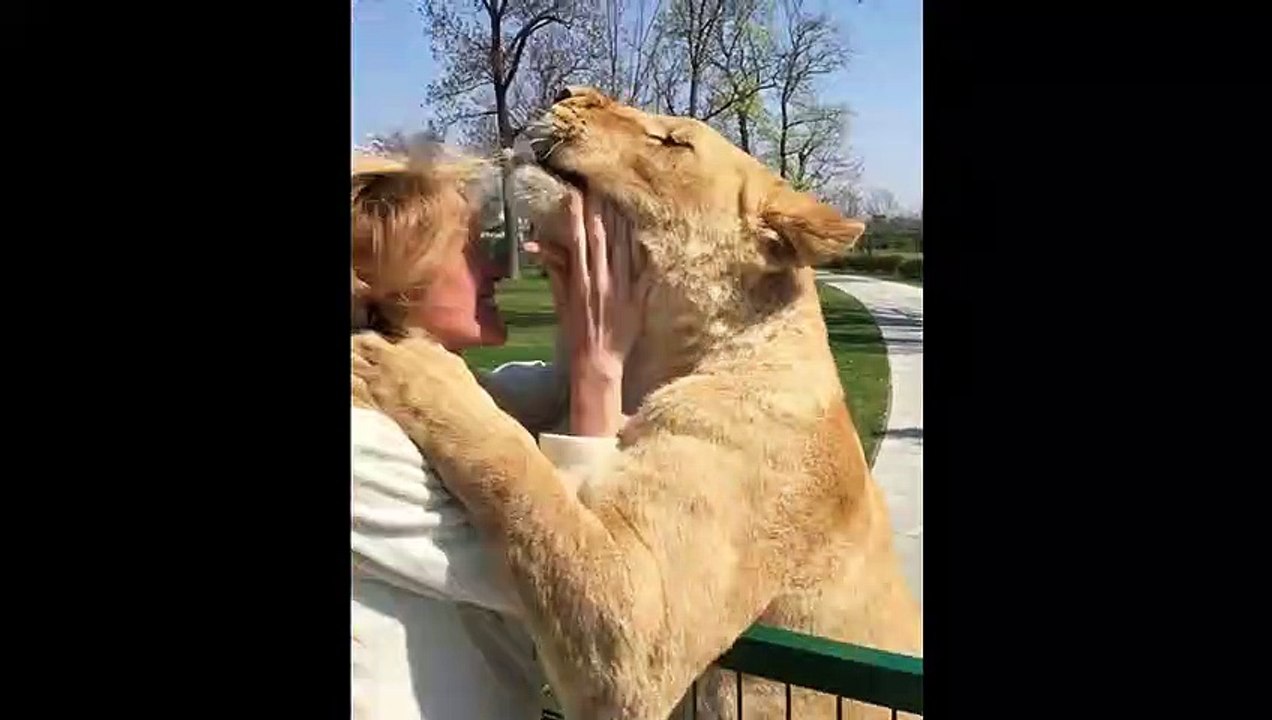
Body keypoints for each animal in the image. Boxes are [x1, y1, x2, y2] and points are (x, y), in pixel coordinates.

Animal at [352, 86, 922, 719]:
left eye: (672, 141)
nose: (564, 91)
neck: (646, 363)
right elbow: (515, 414)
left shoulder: (638, 630)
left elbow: (520, 474)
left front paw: (412, 364)